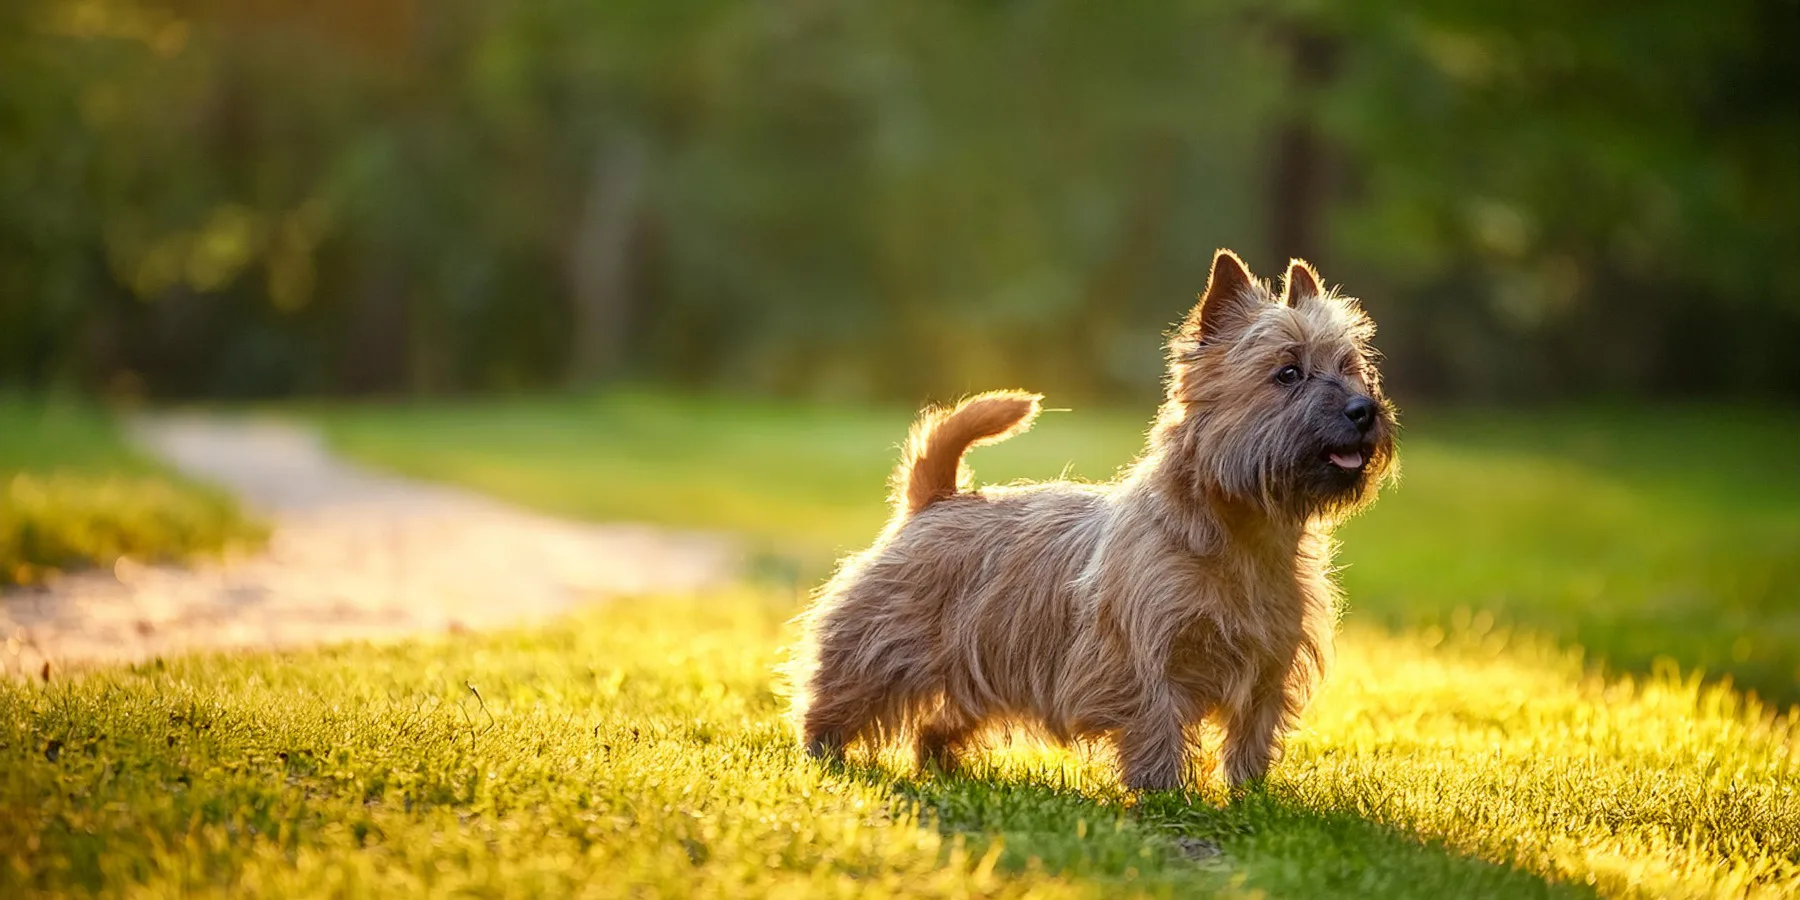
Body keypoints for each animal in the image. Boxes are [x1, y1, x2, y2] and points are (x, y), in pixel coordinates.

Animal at [784, 250, 1389, 792]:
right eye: (1287, 372)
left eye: (1351, 369)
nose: (1364, 410)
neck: (1240, 534)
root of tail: (936, 498)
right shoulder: (1141, 657)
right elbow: (1156, 722)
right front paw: (1162, 793)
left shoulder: (1269, 661)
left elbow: (1252, 732)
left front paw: (1249, 796)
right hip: (881, 647)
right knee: (835, 698)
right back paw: (823, 757)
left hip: (976, 665)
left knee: (936, 723)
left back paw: (945, 766)